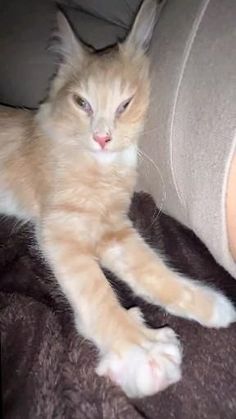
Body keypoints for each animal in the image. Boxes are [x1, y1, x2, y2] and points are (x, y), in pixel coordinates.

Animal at [0, 0, 235, 400]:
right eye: (82, 103)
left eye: (124, 105)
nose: (102, 138)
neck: (102, 166)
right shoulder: (60, 228)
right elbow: (96, 291)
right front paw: (140, 351)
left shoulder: (114, 230)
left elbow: (152, 268)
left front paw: (210, 304)